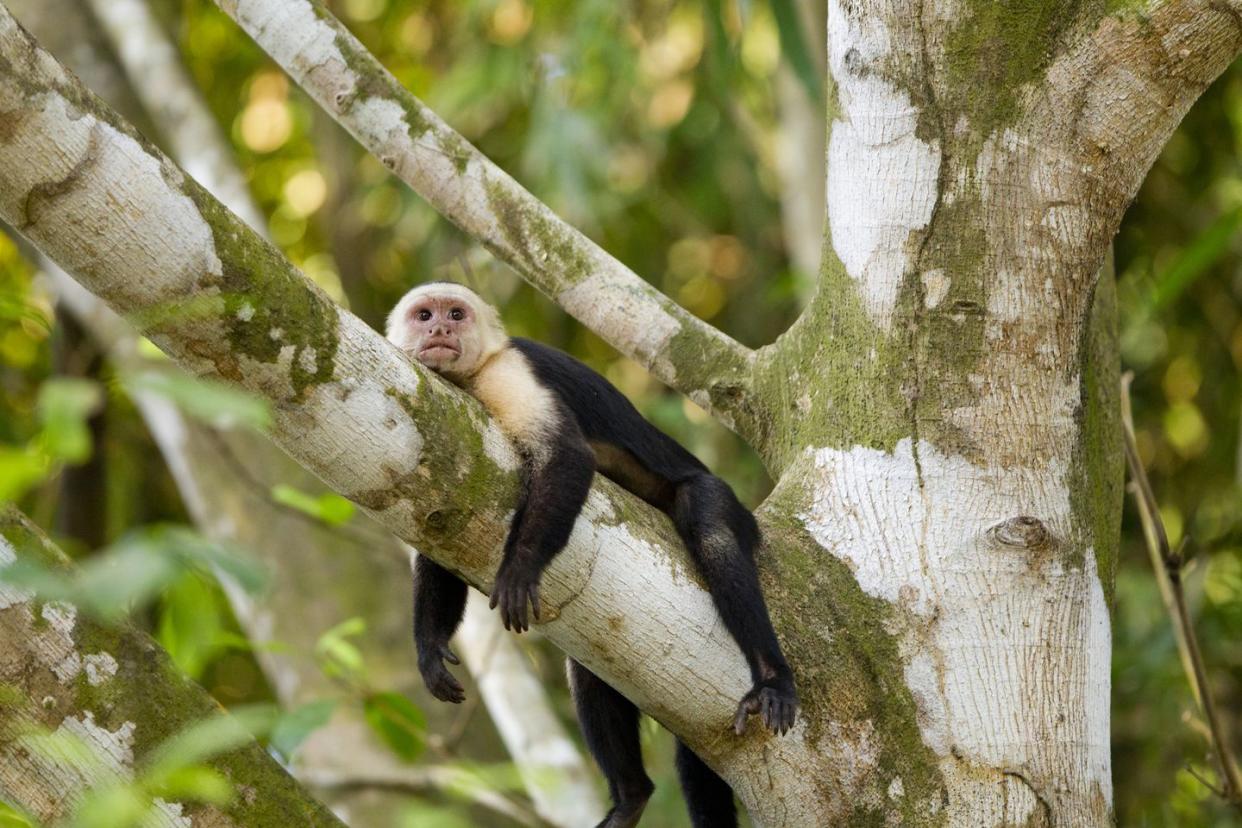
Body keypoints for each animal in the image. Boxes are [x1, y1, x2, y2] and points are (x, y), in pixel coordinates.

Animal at [385, 283, 794, 828]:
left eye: (456, 314)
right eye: (423, 315)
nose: (439, 330)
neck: (470, 378)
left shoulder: (507, 372)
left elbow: (567, 457)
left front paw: (519, 569)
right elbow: (439, 532)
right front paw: (430, 648)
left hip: (727, 505)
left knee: (710, 525)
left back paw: (773, 678)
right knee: (590, 667)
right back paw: (631, 796)